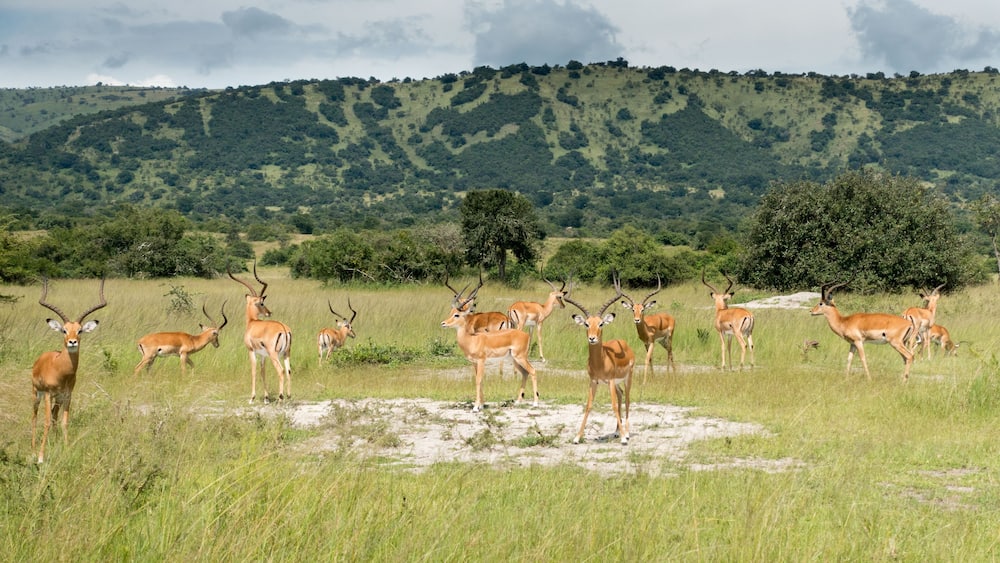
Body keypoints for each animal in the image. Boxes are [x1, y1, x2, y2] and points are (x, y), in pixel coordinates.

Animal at [31, 277, 107, 463]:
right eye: (64, 330)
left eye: (79, 330)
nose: (72, 341)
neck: (61, 370)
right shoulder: (49, 393)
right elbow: (46, 422)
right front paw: (41, 457)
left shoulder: (67, 395)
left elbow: (64, 421)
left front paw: (65, 449)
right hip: (37, 393)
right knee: (35, 417)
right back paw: (33, 450)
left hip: (57, 399)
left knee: (54, 415)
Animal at [228, 262, 293, 404]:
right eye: (262, 303)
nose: (269, 312)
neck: (252, 322)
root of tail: (284, 329)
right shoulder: (263, 355)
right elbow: (263, 372)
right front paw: (266, 398)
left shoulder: (251, 351)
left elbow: (253, 371)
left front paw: (252, 398)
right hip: (286, 354)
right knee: (289, 370)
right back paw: (289, 396)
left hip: (274, 355)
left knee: (281, 371)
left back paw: (280, 398)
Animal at [441, 276, 538, 413]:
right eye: (450, 312)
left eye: (457, 314)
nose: (443, 323)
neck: (472, 340)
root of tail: (526, 335)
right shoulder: (474, 363)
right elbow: (479, 380)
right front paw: (481, 404)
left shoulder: (481, 361)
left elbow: (478, 380)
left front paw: (476, 407)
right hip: (514, 359)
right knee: (525, 373)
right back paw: (518, 401)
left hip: (520, 357)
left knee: (533, 371)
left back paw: (535, 403)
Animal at [564, 276, 636, 445]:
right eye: (586, 324)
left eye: (601, 323)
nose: (592, 338)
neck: (601, 362)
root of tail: (624, 343)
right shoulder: (594, 381)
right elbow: (589, 405)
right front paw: (577, 437)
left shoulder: (610, 380)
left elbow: (614, 405)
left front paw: (624, 439)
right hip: (616, 383)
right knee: (621, 395)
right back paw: (616, 432)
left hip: (627, 378)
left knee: (627, 399)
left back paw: (626, 433)